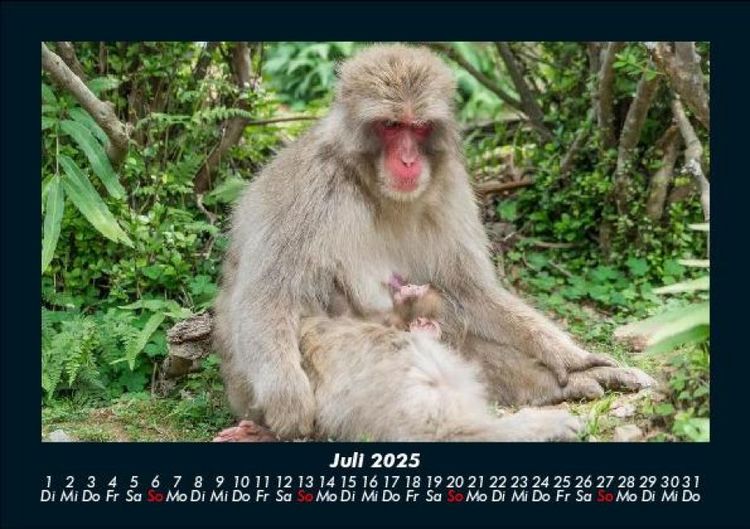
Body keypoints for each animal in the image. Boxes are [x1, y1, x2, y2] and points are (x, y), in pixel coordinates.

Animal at [213, 43, 654, 441]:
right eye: (391, 126)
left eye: (420, 126)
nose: (409, 160)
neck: (375, 189)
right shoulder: (307, 189)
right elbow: (267, 298)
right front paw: (288, 399)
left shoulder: (450, 185)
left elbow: (470, 290)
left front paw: (572, 359)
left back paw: (567, 383)